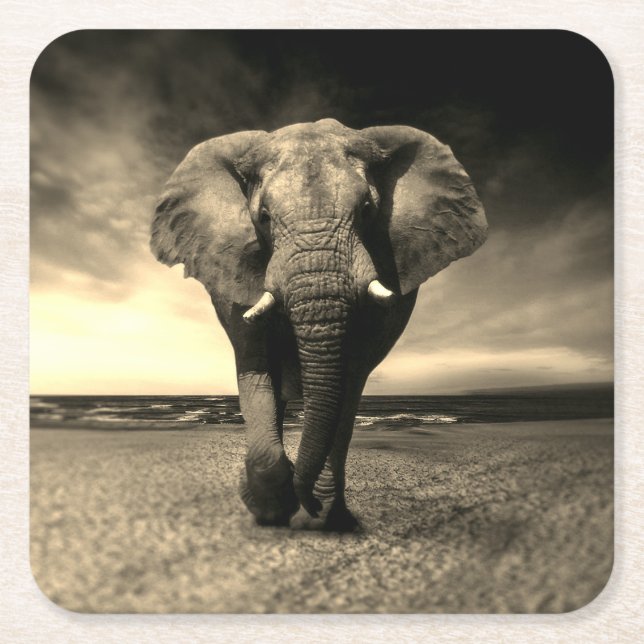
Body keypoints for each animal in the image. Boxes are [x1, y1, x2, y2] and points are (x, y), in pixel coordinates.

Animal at [150, 118, 487, 531]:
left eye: (367, 210)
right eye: (263, 218)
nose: (306, 501)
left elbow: (348, 379)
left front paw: (317, 514)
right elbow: (255, 366)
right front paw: (271, 509)